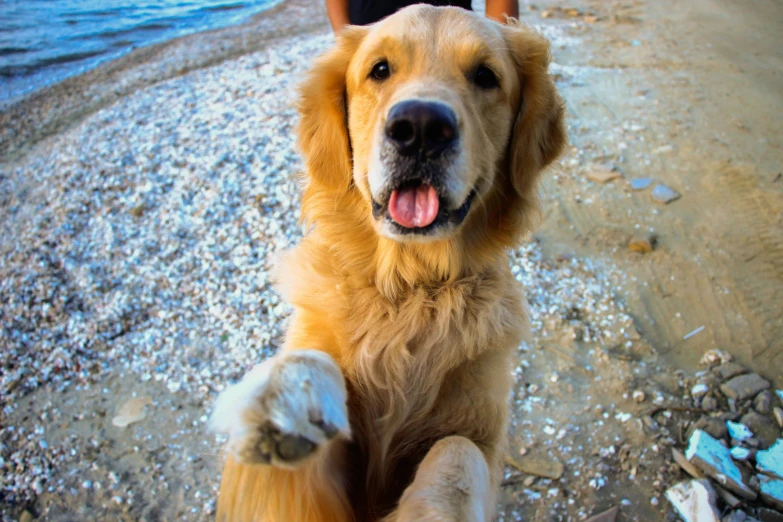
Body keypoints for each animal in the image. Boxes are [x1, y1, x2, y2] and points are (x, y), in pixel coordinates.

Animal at [208, 6, 564, 516]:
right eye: (380, 69)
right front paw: (286, 399)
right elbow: (309, 358)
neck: (408, 289)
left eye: (485, 76)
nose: (421, 127)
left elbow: (457, 454)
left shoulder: (482, 433)